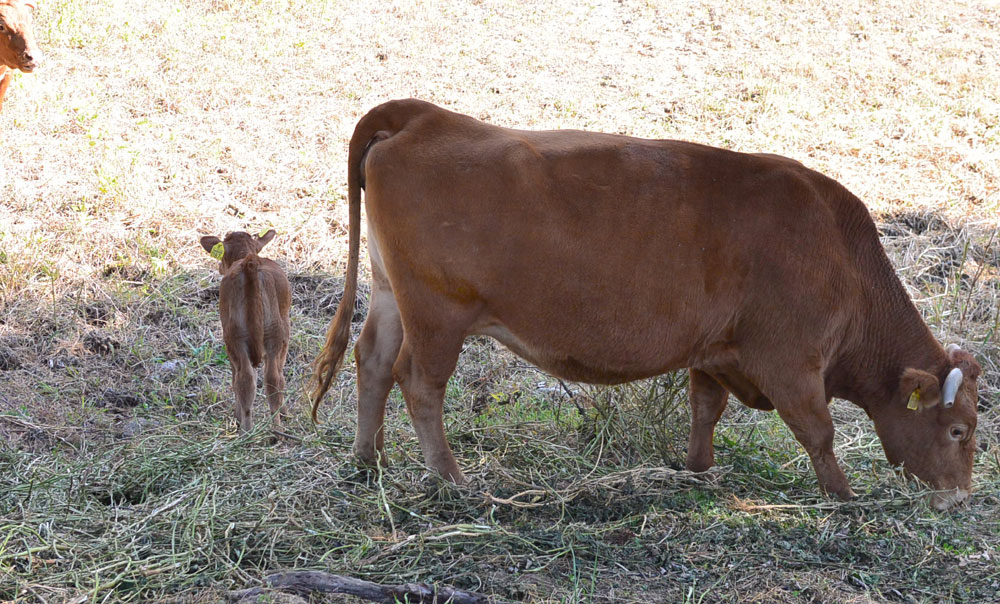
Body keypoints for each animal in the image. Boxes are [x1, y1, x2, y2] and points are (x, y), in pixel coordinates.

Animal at [200, 229, 292, 432]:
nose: (220, 266)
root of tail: (250, 263)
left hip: (235, 336)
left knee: (244, 379)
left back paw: (246, 431)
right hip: (273, 333)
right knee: (271, 379)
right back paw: (275, 431)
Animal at [310, 99, 976, 510]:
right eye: (960, 430)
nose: (961, 495)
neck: (840, 251)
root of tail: (422, 115)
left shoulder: (716, 350)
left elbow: (705, 408)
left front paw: (698, 469)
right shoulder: (790, 360)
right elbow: (819, 430)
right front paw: (843, 496)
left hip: (391, 294)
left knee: (372, 362)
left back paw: (368, 461)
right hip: (438, 312)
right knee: (419, 382)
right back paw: (452, 479)